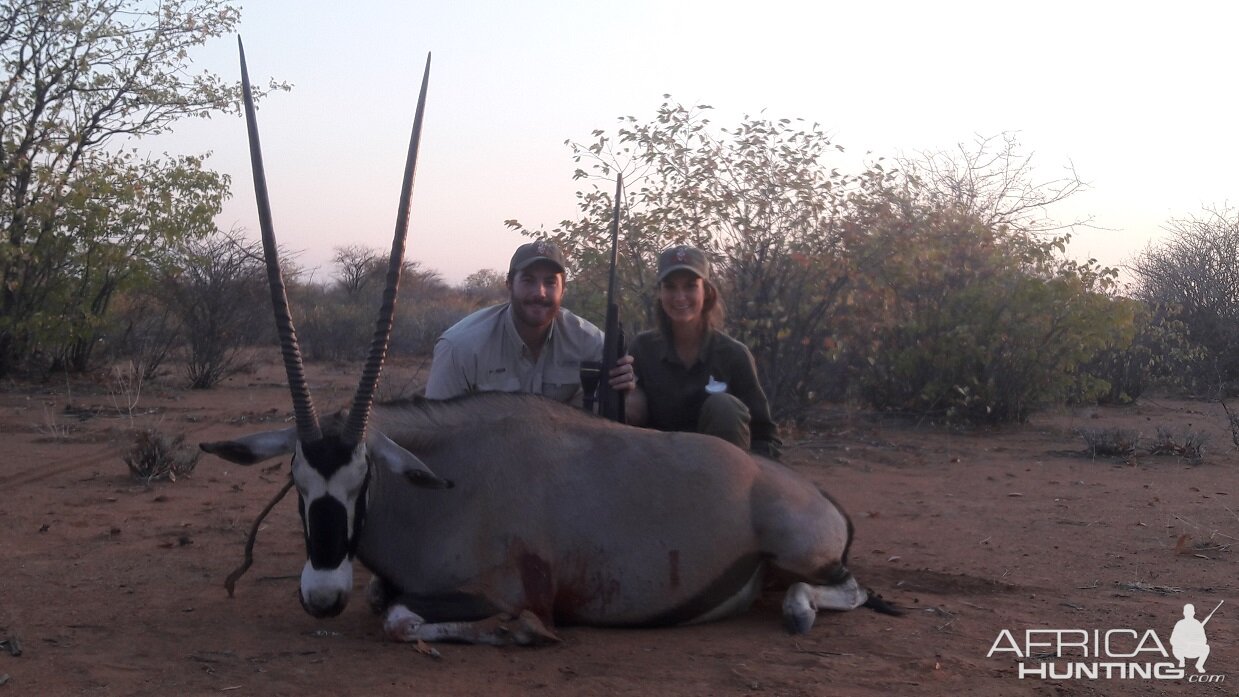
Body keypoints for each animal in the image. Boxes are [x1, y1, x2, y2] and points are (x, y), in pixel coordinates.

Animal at [200, 40, 892, 648]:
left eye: (361, 480)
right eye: (295, 481)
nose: (323, 596)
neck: (443, 483)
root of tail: (814, 495)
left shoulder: (507, 590)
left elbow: (404, 618)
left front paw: (521, 634)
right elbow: (382, 600)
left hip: (802, 553)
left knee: (843, 588)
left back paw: (799, 610)